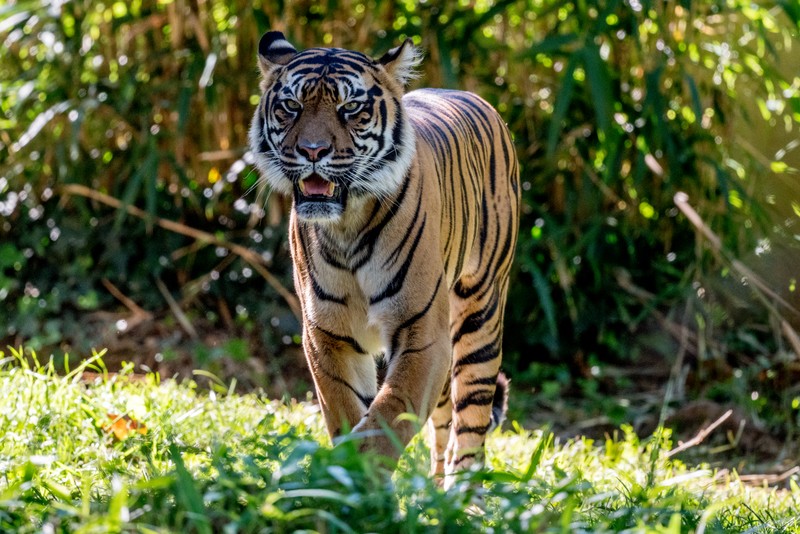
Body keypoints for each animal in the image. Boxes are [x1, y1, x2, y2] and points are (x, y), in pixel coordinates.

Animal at [248, 30, 520, 490]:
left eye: (350, 109)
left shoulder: (422, 334)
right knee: (443, 423)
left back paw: (464, 496)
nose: (313, 151)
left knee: (471, 423)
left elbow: (389, 415)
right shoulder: (328, 335)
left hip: (479, 316)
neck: (347, 227)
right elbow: (348, 412)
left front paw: (364, 483)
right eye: (292, 106)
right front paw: (346, 481)